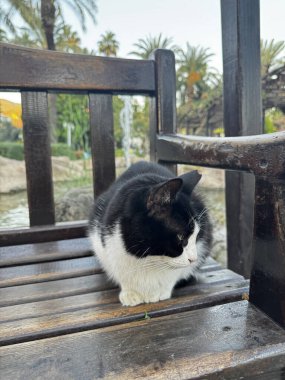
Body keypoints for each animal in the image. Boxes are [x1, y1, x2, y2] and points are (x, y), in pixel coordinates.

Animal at [88, 160, 211, 306]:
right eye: (181, 237)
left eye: (196, 235)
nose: (193, 259)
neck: (149, 258)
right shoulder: (104, 242)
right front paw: (130, 293)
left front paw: (161, 291)